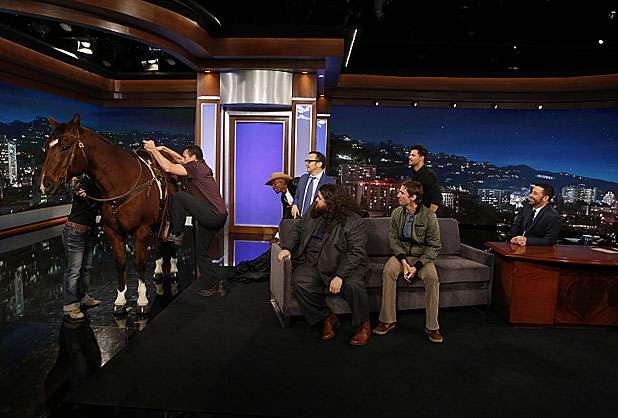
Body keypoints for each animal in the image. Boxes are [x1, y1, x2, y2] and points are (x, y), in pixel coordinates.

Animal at [40, 113, 179, 315]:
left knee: (170, 241)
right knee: (161, 241)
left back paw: (174, 268)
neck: (122, 181)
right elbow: (120, 263)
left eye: (65, 147)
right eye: (46, 146)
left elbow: (139, 263)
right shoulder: (112, 231)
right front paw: (120, 299)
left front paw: (142, 300)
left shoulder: (141, 230)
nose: (46, 185)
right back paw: (159, 270)